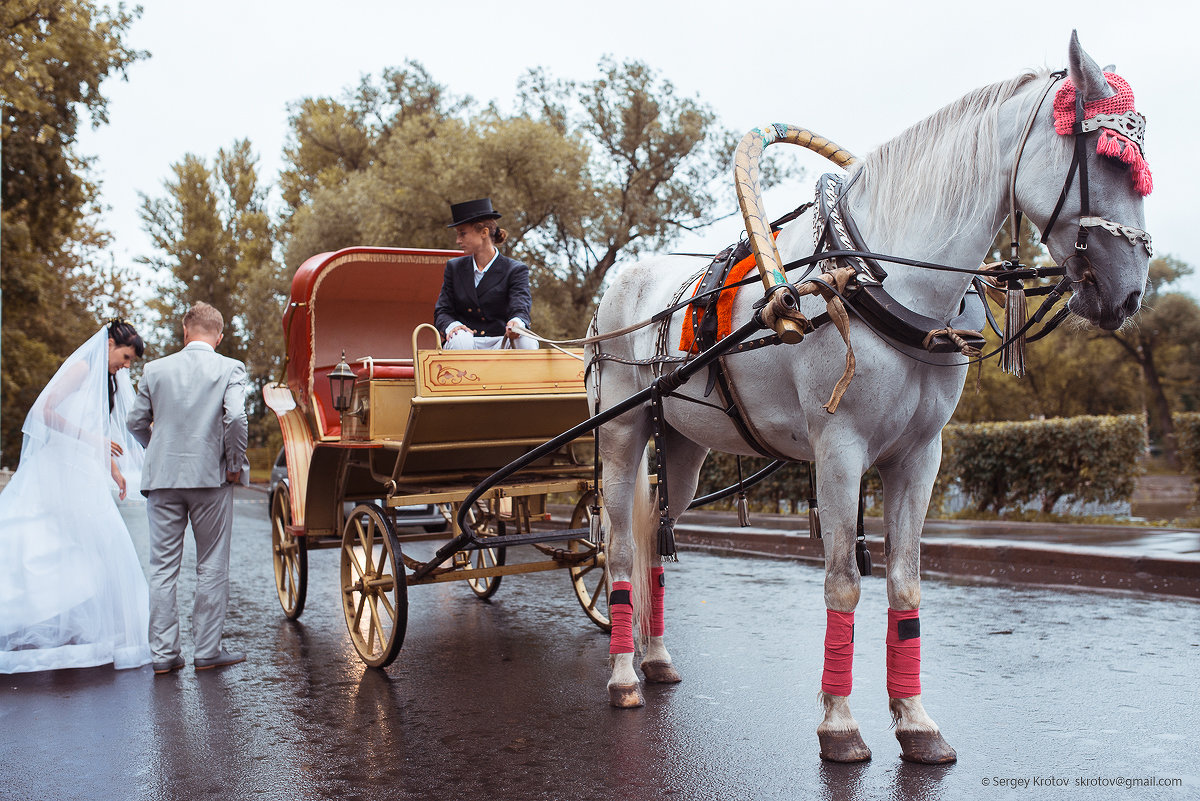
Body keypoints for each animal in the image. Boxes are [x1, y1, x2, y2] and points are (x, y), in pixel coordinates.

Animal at [588, 34, 1152, 762]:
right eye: (1104, 158)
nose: (1130, 292)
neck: (879, 275)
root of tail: (625, 281)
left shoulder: (919, 455)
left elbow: (906, 580)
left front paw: (915, 719)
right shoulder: (839, 450)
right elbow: (843, 581)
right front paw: (839, 721)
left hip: (683, 449)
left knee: (658, 538)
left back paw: (654, 657)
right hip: (621, 433)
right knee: (618, 547)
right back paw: (624, 674)